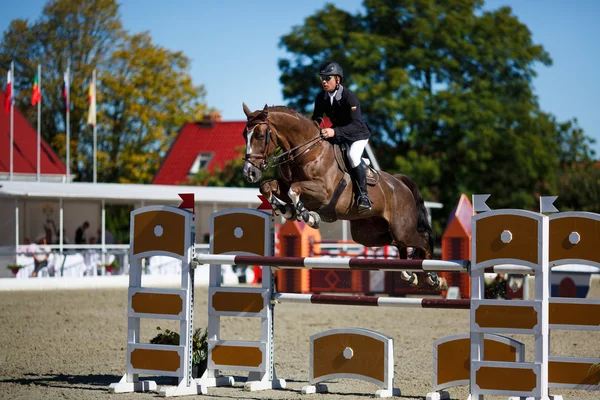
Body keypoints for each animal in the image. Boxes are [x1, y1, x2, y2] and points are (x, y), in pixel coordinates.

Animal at [240, 103, 446, 290]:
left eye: (260, 135)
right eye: (244, 135)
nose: (249, 173)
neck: (307, 152)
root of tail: (400, 183)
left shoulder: (323, 191)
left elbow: (294, 189)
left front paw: (308, 216)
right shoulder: (284, 185)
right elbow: (268, 186)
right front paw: (286, 209)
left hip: (402, 228)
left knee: (423, 240)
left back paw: (433, 278)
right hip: (370, 235)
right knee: (399, 243)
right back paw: (409, 274)